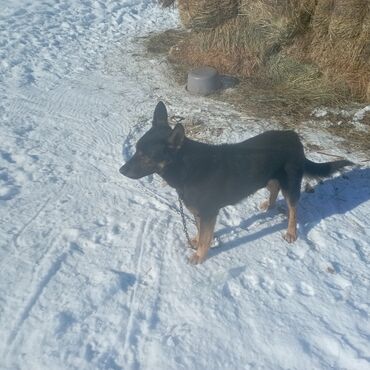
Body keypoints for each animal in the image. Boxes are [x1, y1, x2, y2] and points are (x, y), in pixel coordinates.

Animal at [120, 101, 352, 264]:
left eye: (145, 156)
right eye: (136, 150)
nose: (121, 170)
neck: (185, 168)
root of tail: (294, 136)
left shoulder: (209, 213)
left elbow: (205, 237)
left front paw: (199, 256)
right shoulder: (200, 212)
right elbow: (201, 233)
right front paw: (196, 241)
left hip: (291, 185)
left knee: (293, 209)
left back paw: (291, 232)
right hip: (266, 177)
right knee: (273, 188)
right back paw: (269, 205)